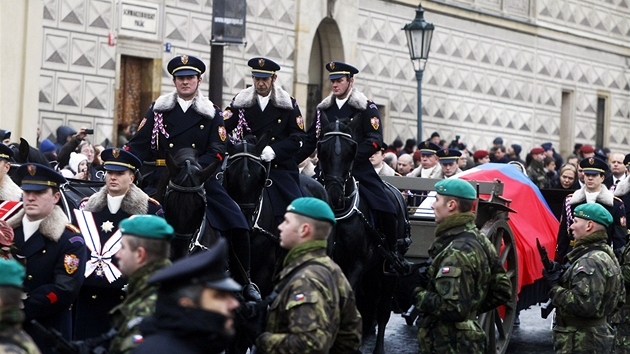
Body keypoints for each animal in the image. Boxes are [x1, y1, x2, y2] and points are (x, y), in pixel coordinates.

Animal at [318, 114, 412, 354]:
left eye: (352, 149)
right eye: (322, 148)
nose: (334, 194)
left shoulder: (356, 264)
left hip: (388, 274)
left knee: (383, 310)